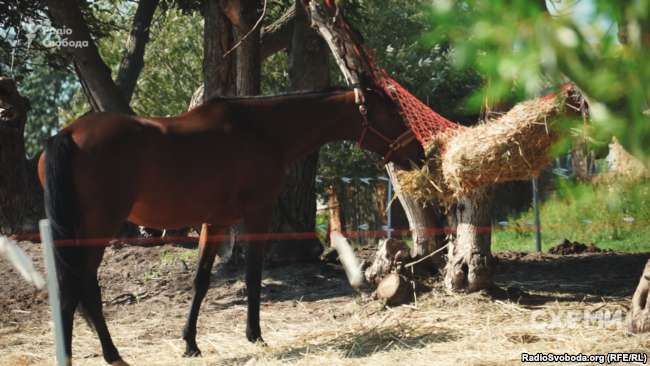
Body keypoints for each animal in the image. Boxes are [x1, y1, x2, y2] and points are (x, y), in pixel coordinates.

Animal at [36, 87, 420, 364]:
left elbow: (202, 280)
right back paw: (108, 355)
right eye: (391, 113)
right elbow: (252, 275)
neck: (264, 131)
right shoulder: (257, 213)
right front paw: (255, 335)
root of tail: (67, 134)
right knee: (80, 289)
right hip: (97, 228)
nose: (417, 153)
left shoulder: (216, 221)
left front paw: (190, 343)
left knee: (79, 289)